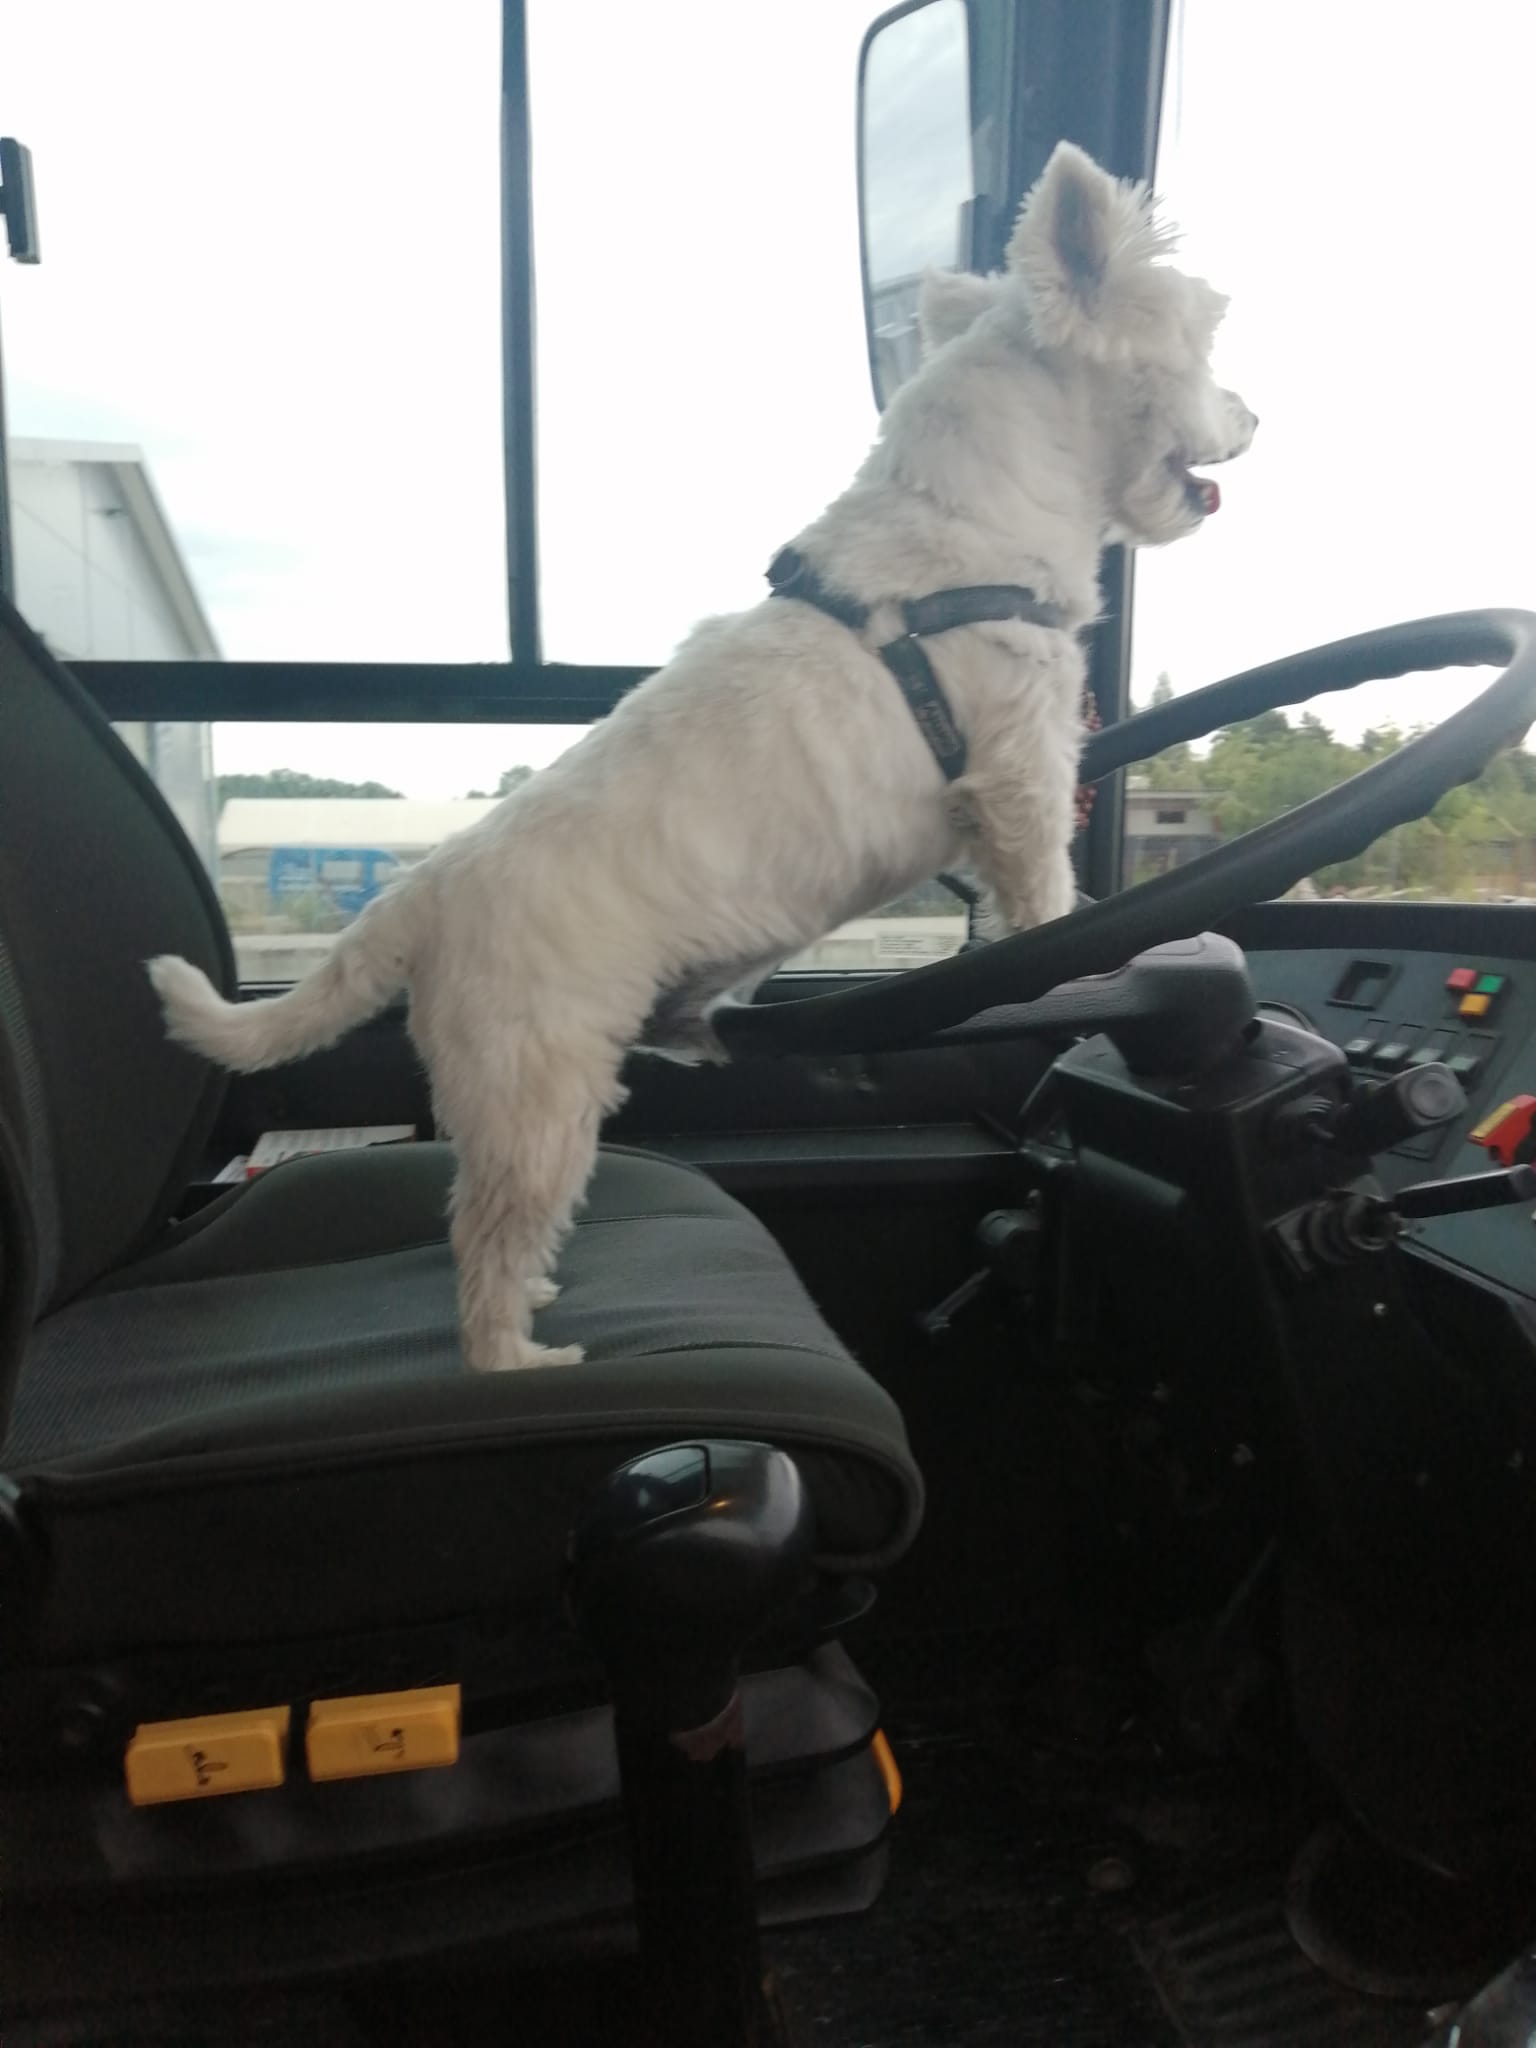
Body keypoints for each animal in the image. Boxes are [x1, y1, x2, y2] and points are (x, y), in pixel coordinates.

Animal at [150, 144, 1253, 1376]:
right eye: (1210, 338)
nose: (1254, 416)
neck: (966, 527)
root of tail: (421, 893)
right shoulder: (1017, 763)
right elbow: (1042, 890)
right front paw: (1081, 953)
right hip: (540, 1088)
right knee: (486, 1241)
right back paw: (520, 1356)